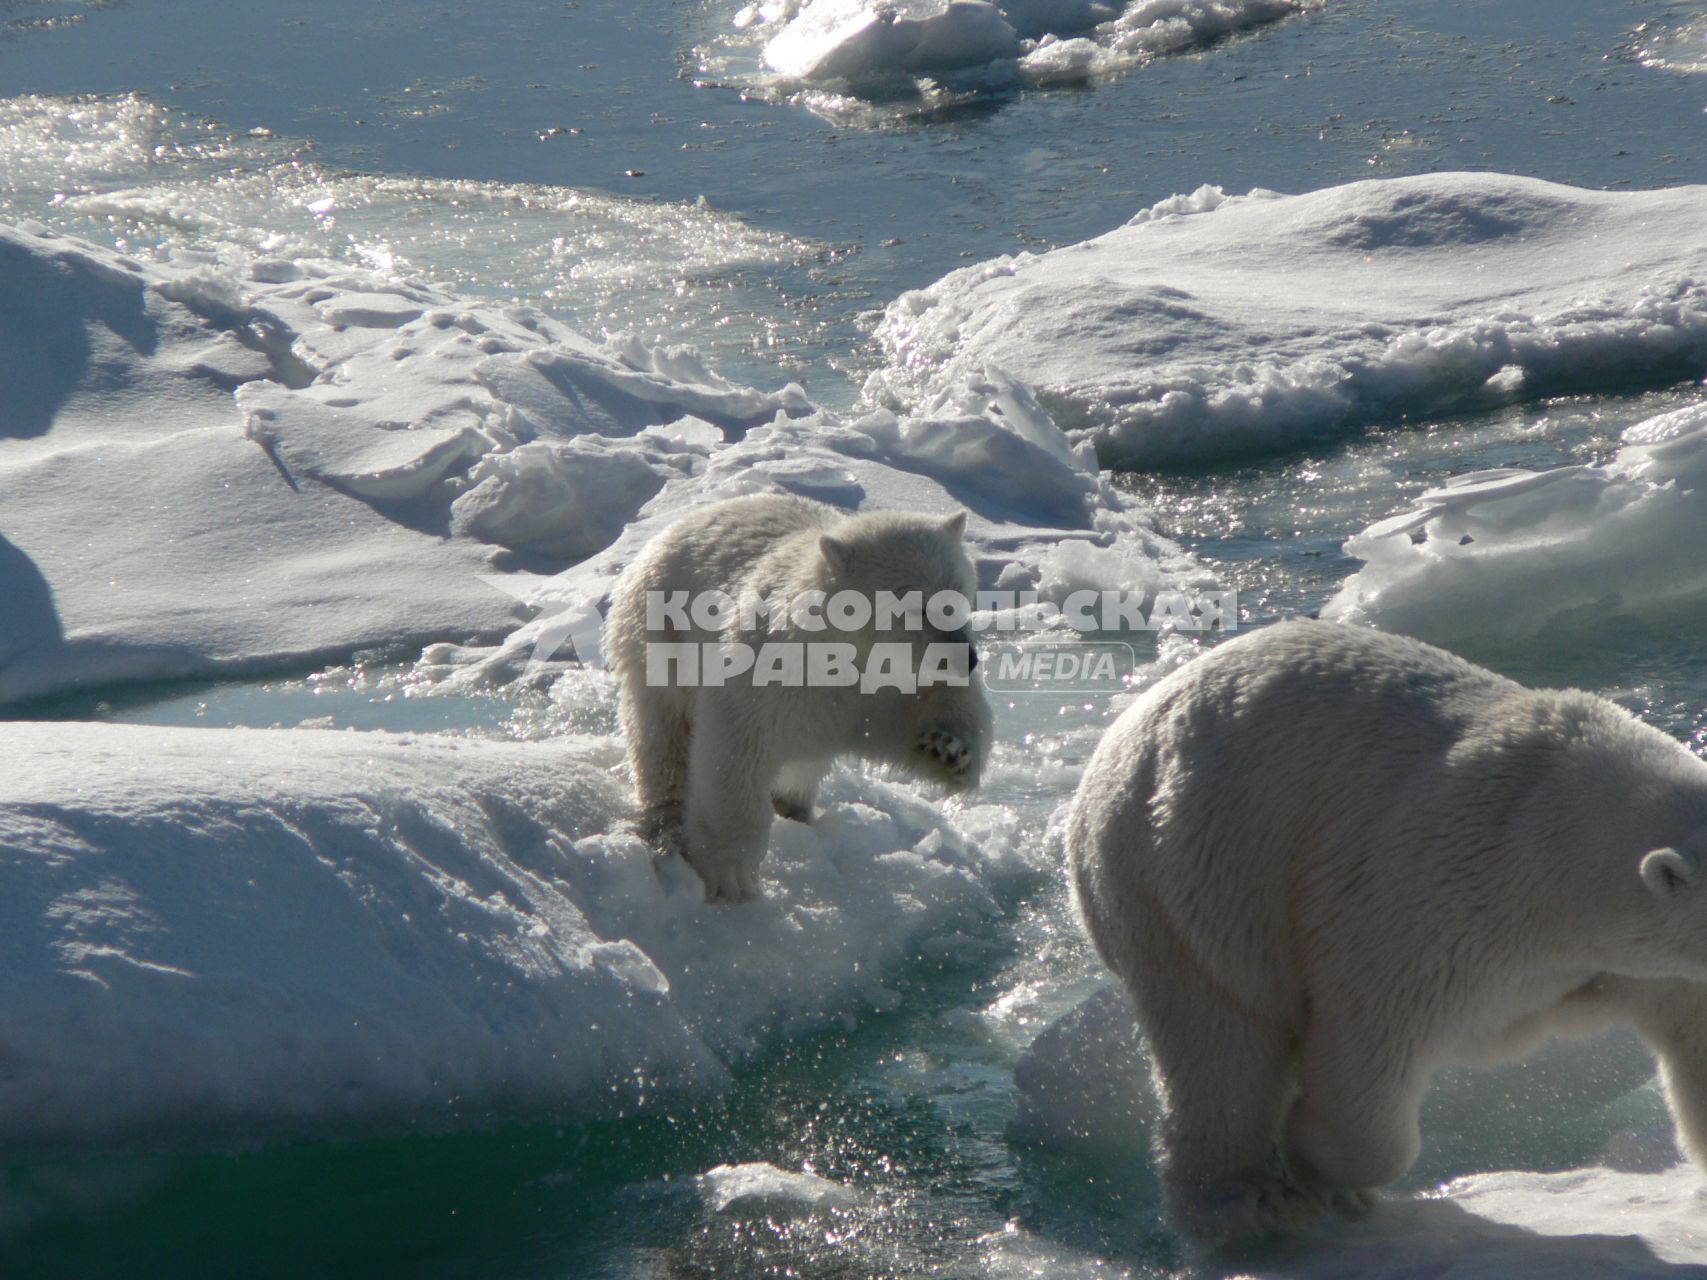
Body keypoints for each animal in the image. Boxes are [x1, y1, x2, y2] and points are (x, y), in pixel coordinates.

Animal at [607, 491, 996, 901]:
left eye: (958, 592)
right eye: (911, 603)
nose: (966, 658)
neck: (844, 652)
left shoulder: (880, 689)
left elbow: (937, 708)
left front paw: (947, 749)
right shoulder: (773, 672)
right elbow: (735, 752)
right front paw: (731, 876)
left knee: (804, 763)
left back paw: (796, 807)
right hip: (657, 638)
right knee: (662, 738)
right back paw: (665, 826)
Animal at [1071, 621, 1707, 1242]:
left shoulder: (1641, 962)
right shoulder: (1435, 899)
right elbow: (1369, 1035)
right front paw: (1320, 1165)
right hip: (1192, 880)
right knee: (1219, 1042)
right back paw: (1248, 1202)